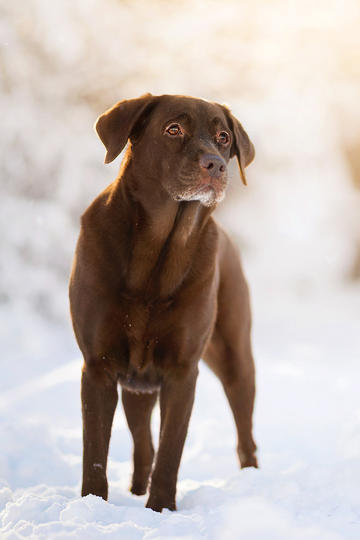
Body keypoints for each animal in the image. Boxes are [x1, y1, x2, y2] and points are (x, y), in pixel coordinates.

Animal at [69, 93, 258, 510]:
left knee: (245, 435)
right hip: (136, 386)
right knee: (143, 444)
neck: (158, 251)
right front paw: (94, 505)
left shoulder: (182, 370)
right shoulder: (99, 366)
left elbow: (172, 449)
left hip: (235, 356)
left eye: (223, 137)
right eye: (173, 129)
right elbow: (95, 452)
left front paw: (161, 509)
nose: (216, 164)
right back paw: (136, 489)